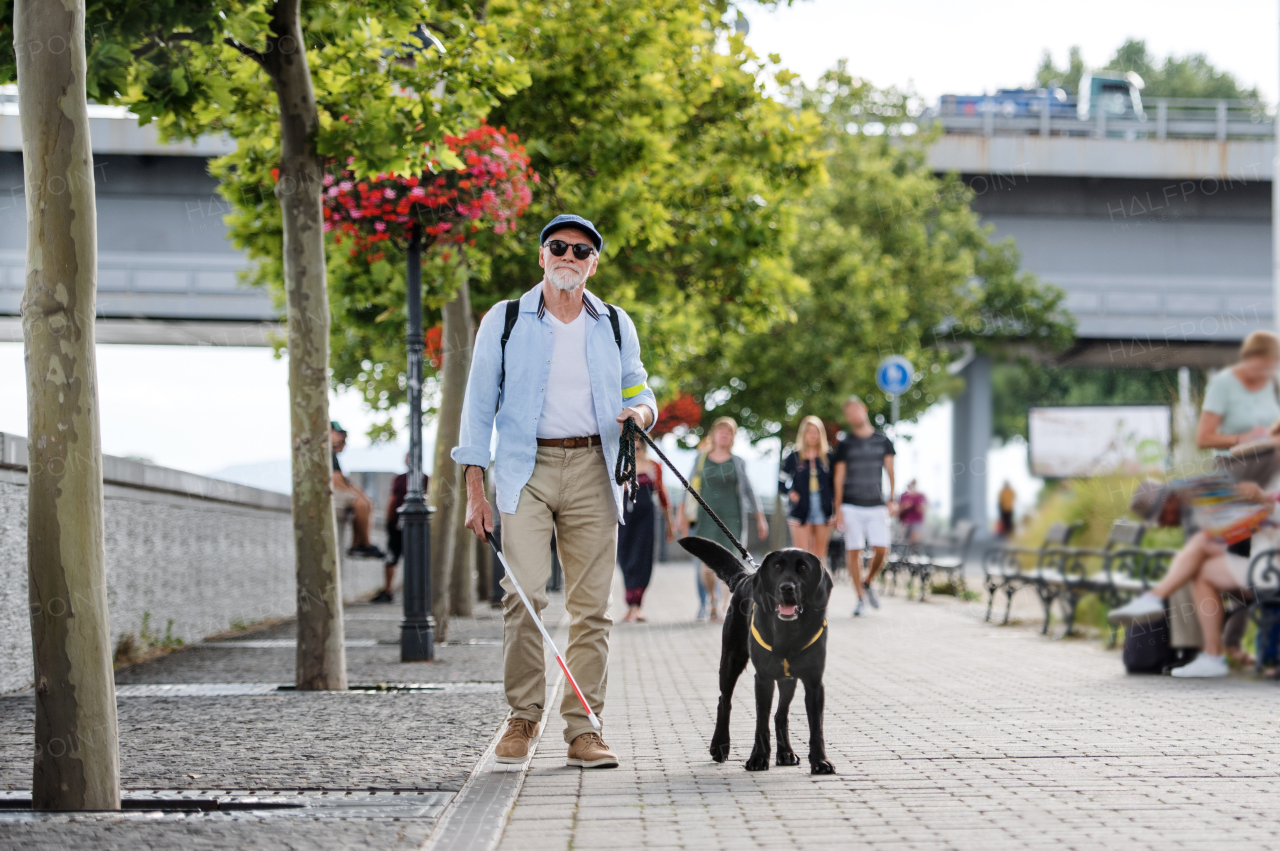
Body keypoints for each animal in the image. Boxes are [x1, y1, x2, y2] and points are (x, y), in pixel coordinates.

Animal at [675, 540, 834, 772]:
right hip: (731, 660)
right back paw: (720, 745)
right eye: (776, 567)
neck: (788, 632)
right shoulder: (763, 679)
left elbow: (817, 728)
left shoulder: (814, 682)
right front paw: (758, 758)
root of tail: (746, 577)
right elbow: (761, 722)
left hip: (788, 680)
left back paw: (785, 753)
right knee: (724, 701)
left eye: (804, 568)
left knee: (781, 714)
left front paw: (820, 761)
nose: (786, 588)